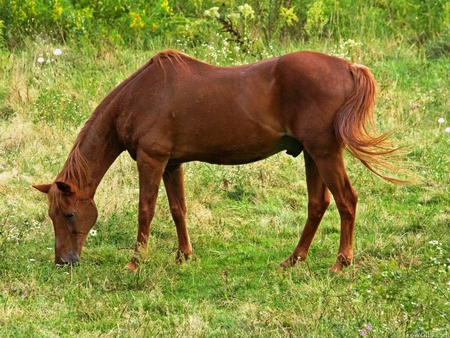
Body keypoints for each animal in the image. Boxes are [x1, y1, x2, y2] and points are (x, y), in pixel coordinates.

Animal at [32, 50, 398, 274]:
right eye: (51, 215)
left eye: (69, 214)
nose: (63, 261)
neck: (139, 97)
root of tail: (349, 67)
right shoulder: (171, 164)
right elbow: (178, 209)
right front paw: (183, 256)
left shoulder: (151, 160)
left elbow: (145, 211)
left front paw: (136, 263)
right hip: (313, 154)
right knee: (317, 204)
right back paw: (293, 260)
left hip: (324, 153)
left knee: (346, 200)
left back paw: (340, 263)